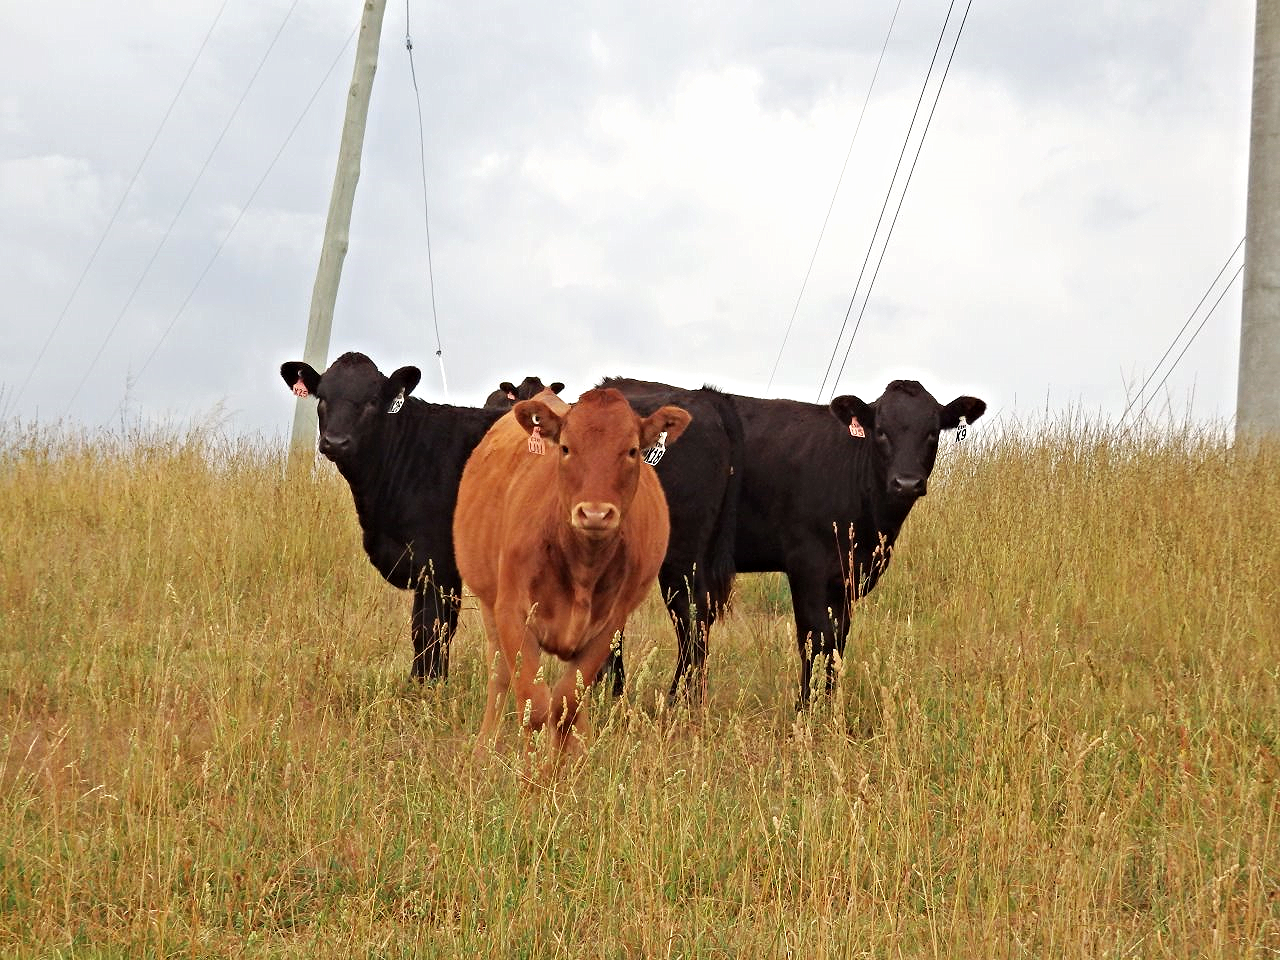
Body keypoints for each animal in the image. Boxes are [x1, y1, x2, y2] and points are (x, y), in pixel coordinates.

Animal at [280, 352, 503, 682]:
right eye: (322, 397)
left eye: (372, 400)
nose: (335, 441)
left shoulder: (437, 562)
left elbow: (430, 628)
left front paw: (427, 685)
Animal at [453, 387, 690, 768]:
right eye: (565, 447)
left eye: (632, 450)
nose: (594, 513)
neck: (582, 565)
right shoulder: (512, 614)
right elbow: (534, 706)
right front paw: (533, 779)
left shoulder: (609, 626)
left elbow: (567, 705)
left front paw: (562, 776)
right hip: (489, 605)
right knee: (499, 674)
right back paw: (483, 751)